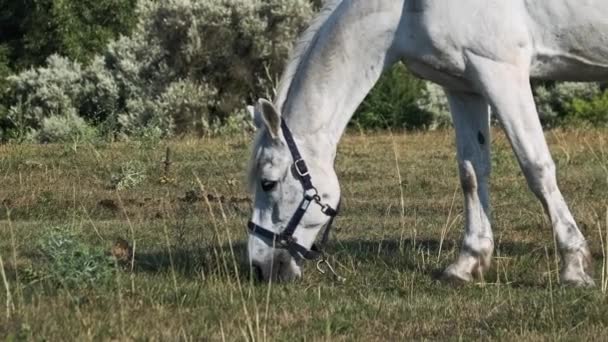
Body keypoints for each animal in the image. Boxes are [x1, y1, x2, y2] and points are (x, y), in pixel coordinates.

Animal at [245, 0, 604, 286]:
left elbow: (536, 168)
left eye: (268, 183)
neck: (406, 9)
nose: (260, 268)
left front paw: (574, 267)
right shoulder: (463, 85)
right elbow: (472, 173)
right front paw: (467, 263)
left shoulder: (500, 71)